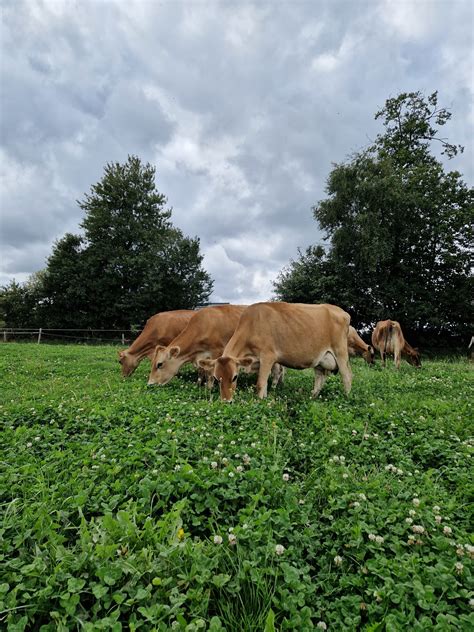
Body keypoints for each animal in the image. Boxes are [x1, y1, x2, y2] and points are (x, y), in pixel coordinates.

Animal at [199, 302, 352, 400]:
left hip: (340, 353)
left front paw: (260, 402)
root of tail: (342, 311)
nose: (227, 401)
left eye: (235, 377)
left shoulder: (268, 356)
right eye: (216, 378)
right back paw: (312, 397)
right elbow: (265, 383)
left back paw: (347, 398)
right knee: (320, 377)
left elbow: (260, 384)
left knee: (347, 376)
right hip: (321, 359)